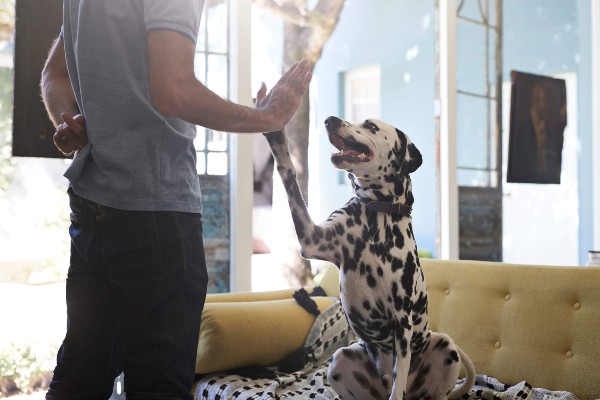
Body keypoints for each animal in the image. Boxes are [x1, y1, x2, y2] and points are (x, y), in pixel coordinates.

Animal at [264, 115, 476, 400]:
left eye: (371, 126)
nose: (330, 119)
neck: (378, 217)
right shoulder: (312, 239)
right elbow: (289, 174)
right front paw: (277, 139)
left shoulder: (402, 322)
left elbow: (400, 373)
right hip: (340, 361)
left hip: (445, 347)